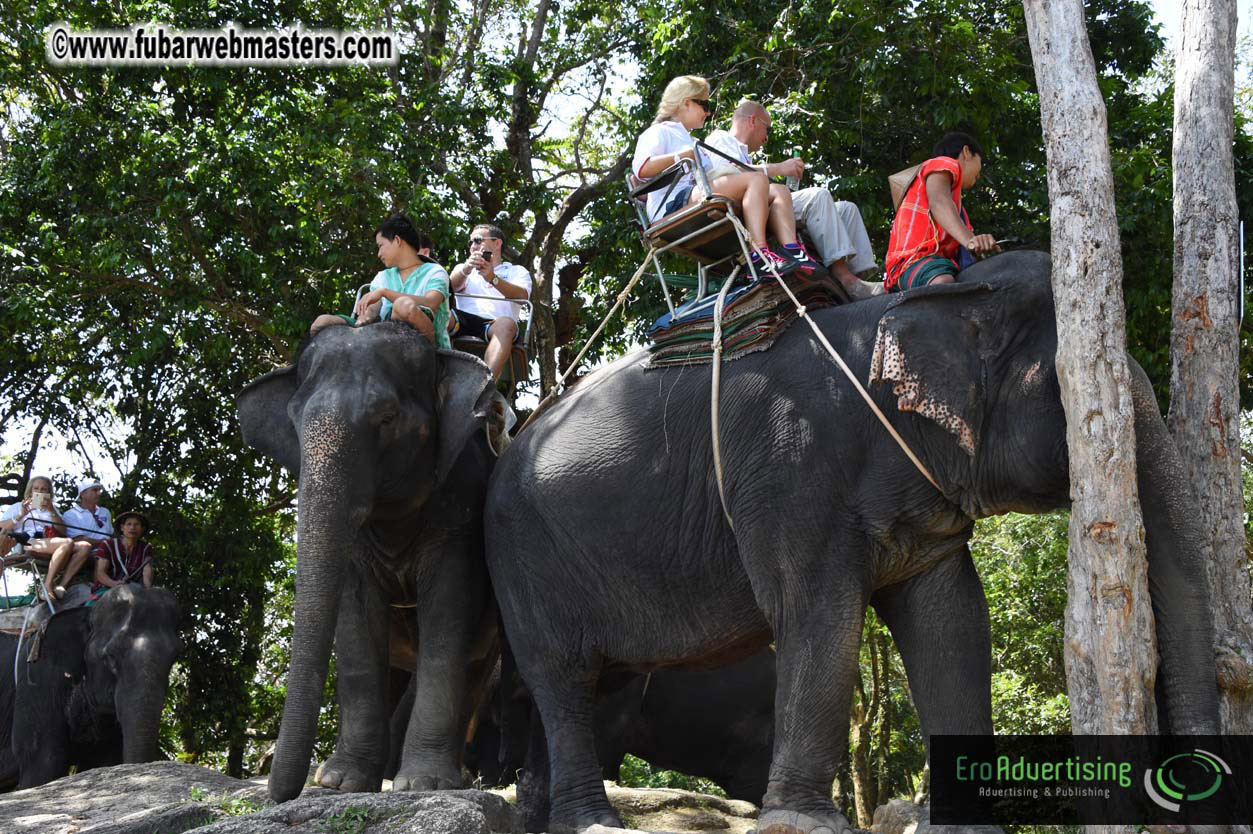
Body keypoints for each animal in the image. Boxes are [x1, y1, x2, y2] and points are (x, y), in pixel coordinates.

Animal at [0, 584, 181, 789]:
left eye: (175, 656)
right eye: (110, 656)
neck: (86, 611)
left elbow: (103, 761)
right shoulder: (37, 679)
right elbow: (43, 764)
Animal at [237, 320, 508, 803]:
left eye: (387, 418)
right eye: (294, 424)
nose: (280, 793)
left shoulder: (461, 514)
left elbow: (447, 611)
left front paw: (423, 785)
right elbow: (356, 621)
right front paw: (341, 784)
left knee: (475, 669)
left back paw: (453, 779)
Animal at [483, 250, 1222, 833]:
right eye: (1077, 383)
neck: (928, 302)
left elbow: (952, 619)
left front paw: (964, 829)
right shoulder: (792, 464)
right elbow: (817, 613)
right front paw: (801, 822)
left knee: (599, 683)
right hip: (524, 560)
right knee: (563, 678)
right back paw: (595, 825)